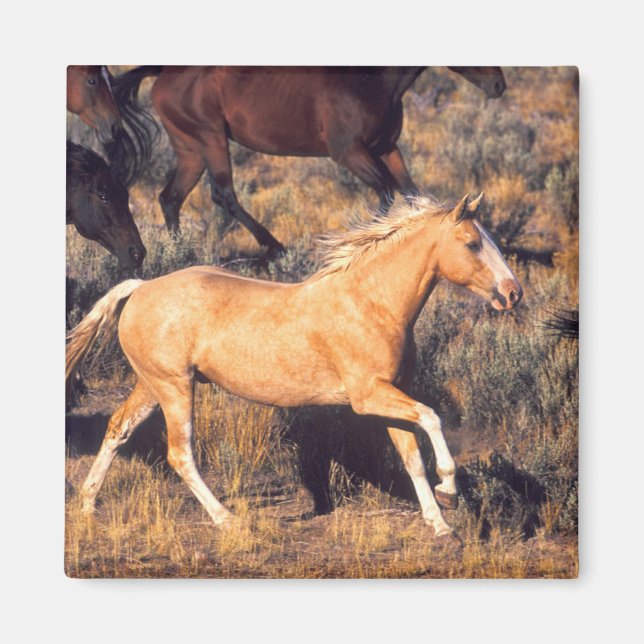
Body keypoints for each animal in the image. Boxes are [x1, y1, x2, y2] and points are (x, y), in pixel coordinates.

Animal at [66, 193, 522, 544]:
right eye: (472, 244)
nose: (513, 293)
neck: (372, 303)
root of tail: (140, 288)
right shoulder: (368, 396)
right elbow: (432, 419)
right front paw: (449, 490)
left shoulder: (390, 395)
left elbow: (412, 460)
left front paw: (442, 526)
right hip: (175, 388)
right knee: (180, 453)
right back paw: (228, 520)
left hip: (152, 385)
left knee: (118, 429)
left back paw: (87, 504)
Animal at [108, 66, 506, 254]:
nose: (499, 86)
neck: (371, 80)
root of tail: (164, 71)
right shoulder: (350, 153)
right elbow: (387, 195)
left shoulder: (387, 149)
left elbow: (411, 195)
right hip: (211, 139)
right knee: (223, 195)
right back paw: (275, 248)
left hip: (191, 148)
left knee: (170, 197)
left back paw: (182, 256)